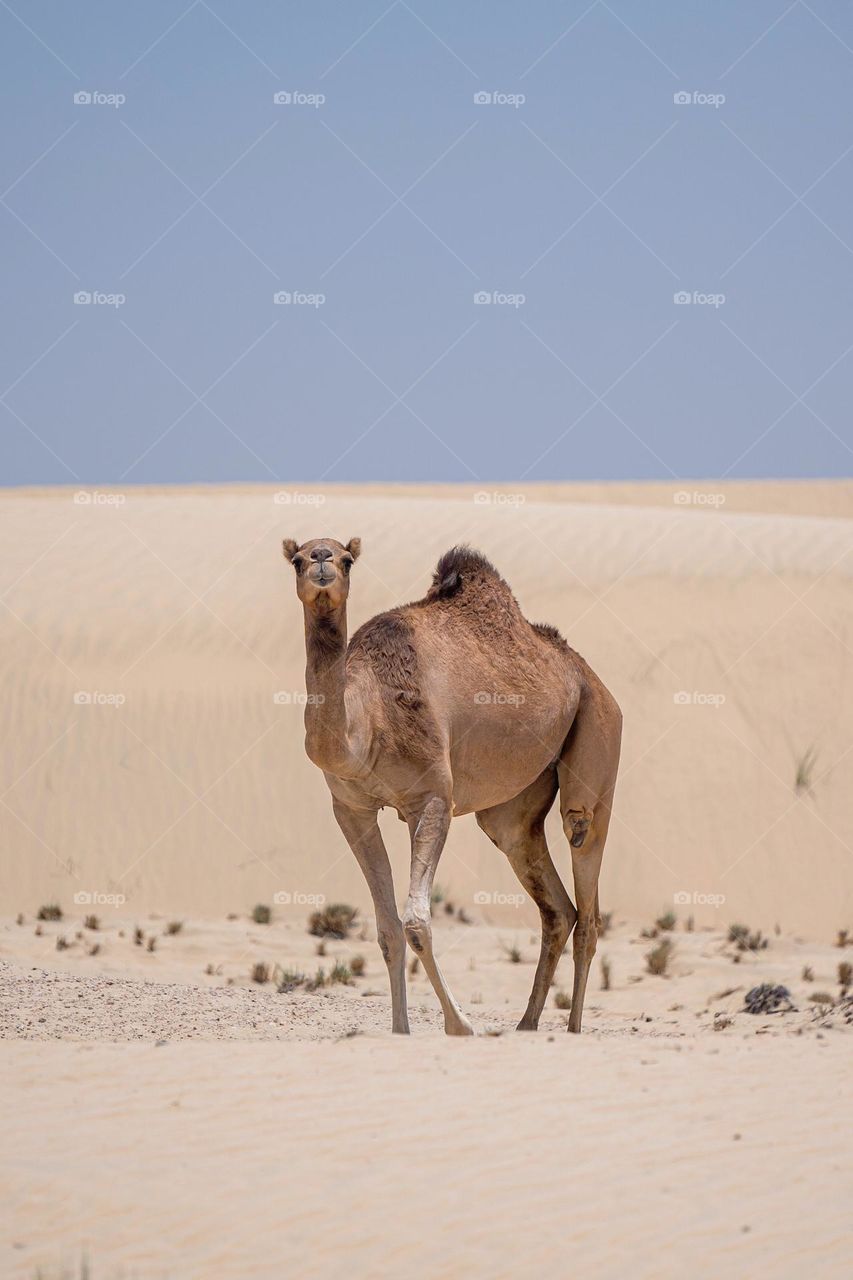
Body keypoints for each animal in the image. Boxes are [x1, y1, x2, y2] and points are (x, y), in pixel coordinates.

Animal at [282, 537, 622, 1035]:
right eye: (297, 559)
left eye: (346, 559)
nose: (322, 559)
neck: (368, 722)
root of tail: (590, 676)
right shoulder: (351, 809)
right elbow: (387, 929)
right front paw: (400, 1030)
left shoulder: (432, 798)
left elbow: (416, 922)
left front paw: (461, 1026)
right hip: (510, 812)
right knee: (557, 905)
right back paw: (526, 1025)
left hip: (599, 731)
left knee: (586, 875)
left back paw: (573, 1029)